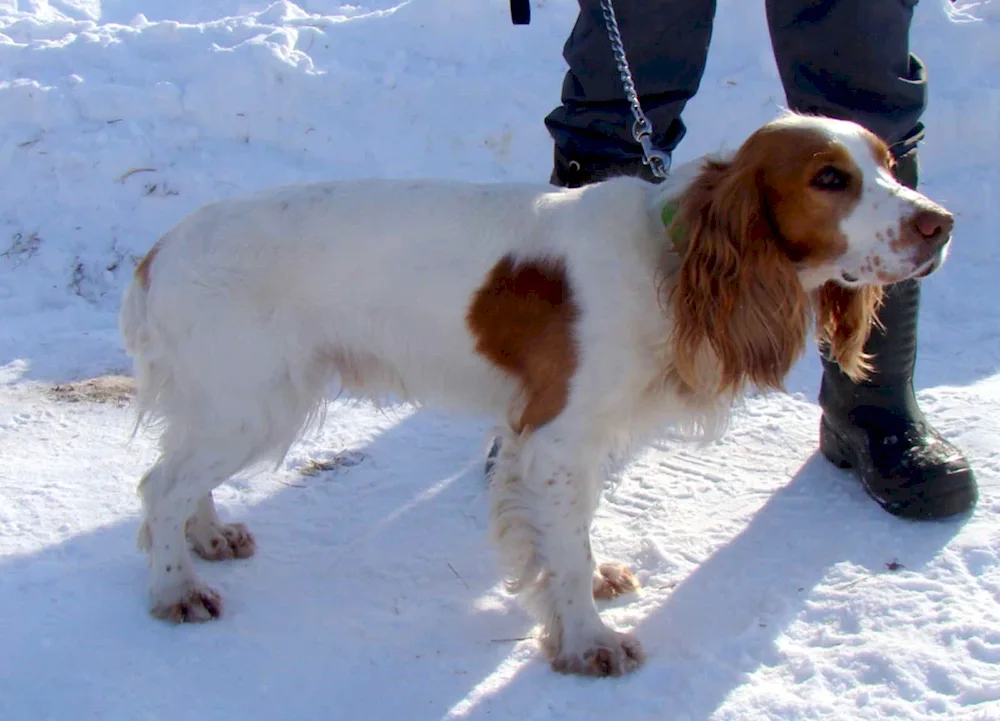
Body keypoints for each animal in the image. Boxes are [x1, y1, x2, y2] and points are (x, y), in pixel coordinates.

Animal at [123, 112, 952, 676]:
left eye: (888, 163)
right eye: (829, 179)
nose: (941, 223)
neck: (673, 256)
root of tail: (159, 249)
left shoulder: (581, 441)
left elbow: (574, 535)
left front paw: (595, 584)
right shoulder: (556, 437)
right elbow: (566, 551)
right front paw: (588, 642)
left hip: (231, 402)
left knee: (180, 474)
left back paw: (208, 537)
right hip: (253, 401)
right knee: (160, 484)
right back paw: (174, 589)